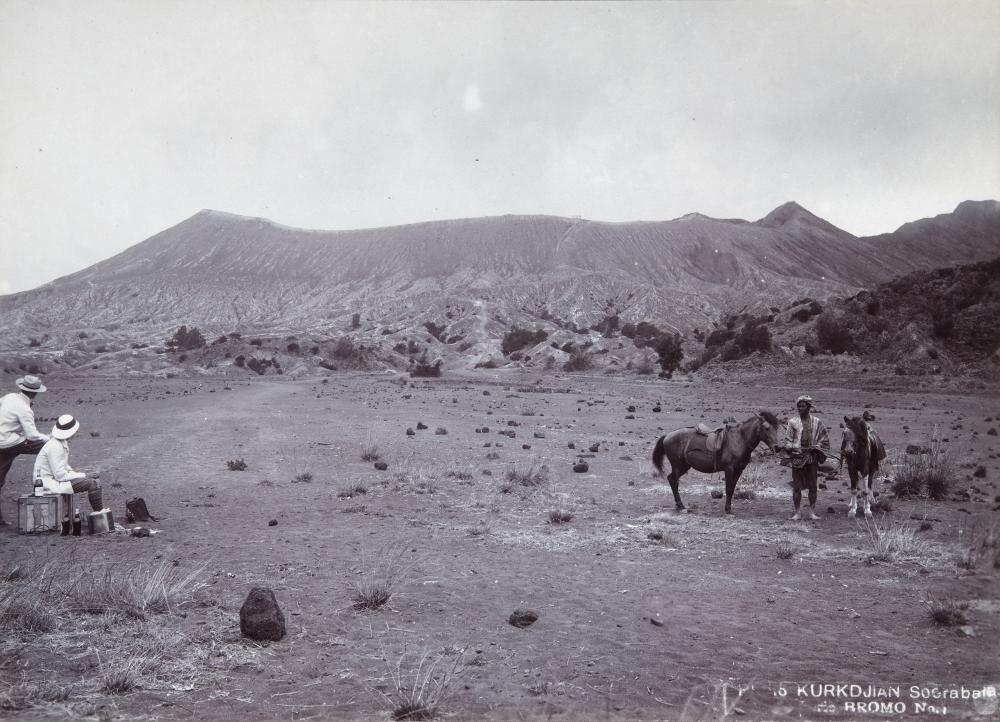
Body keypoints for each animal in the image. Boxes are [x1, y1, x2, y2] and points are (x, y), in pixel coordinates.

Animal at [652, 410, 784, 512]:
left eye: (777, 428)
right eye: (766, 428)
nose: (777, 447)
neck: (740, 440)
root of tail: (667, 436)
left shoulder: (739, 470)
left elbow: (732, 488)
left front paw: (728, 508)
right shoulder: (729, 469)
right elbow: (728, 489)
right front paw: (727, 509)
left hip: (684, 466)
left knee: (672, 480)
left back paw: (679, 505)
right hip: (678, 465)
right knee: (673, 480)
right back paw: (680, 506)